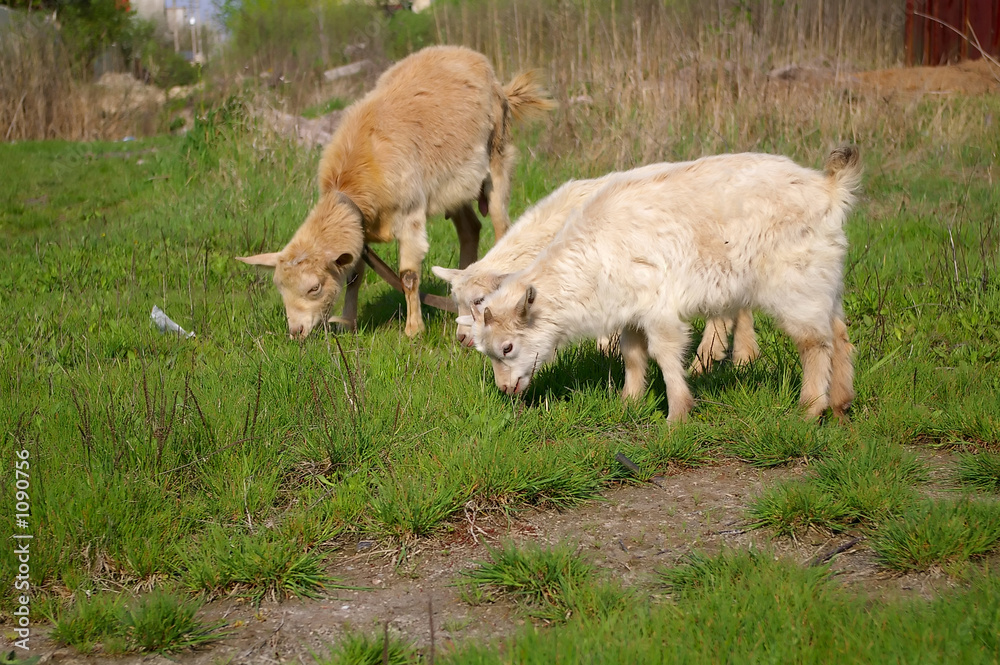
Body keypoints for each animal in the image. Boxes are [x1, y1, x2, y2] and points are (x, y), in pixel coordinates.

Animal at [237, 45, 555, 338]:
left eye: (314, 287)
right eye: (280, 287)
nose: (296, 332)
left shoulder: (410, 215)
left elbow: (409, 276)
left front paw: (414, 329)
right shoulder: (361, 231)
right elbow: (354, 277)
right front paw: (348, 322)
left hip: (498, 157)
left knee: (501, 224)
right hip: (453, 188)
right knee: (470, 228)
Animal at [460, 148, 861, 422]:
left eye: (508, 347)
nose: (505, 388)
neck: (594, 250)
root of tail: (829, 188)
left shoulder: (658, 309)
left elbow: (665, 355)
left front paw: (677, 415)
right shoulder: (629, 309)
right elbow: (634, 355)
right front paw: (629, 402)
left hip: (796, 282)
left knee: (814, 343)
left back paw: (810, 409)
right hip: (825, 280)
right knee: (838, 334)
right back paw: (840, 405)